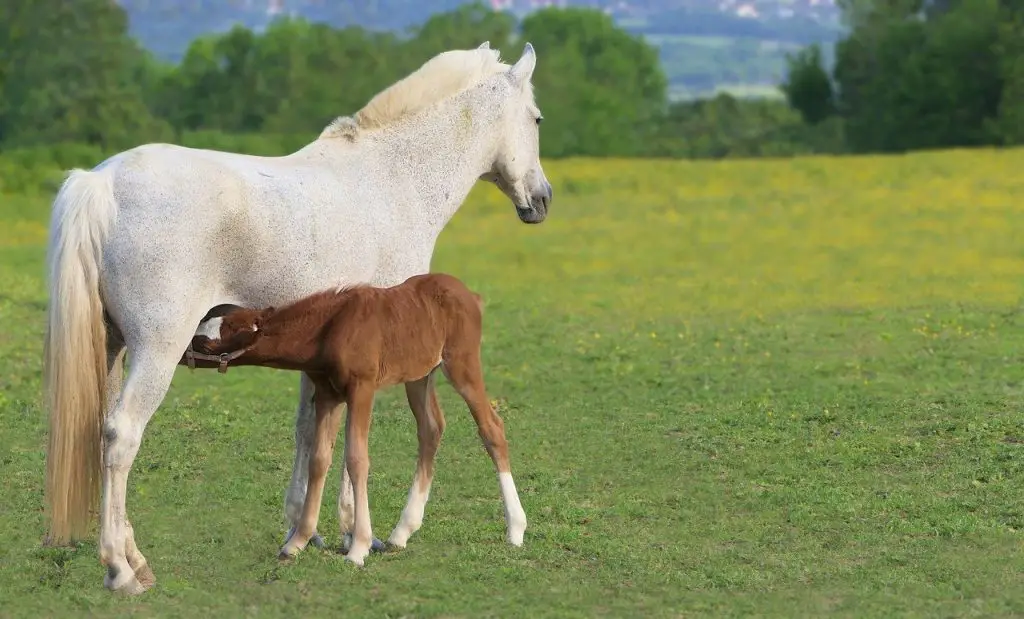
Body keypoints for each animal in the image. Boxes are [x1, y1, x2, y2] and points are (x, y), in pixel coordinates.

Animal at [181, 272, 528, 561]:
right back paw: (401, 532)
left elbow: (357, 458)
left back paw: (515, 529)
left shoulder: (362, 389)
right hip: (419, 374)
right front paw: (297, 542)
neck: (329, 329)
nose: (181, 354)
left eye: (206, 341)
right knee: (431, 429)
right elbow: (319, 458)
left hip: (461, 363)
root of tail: (471, 295)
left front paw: (358, 547)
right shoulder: (328, 394)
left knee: (491, 428)